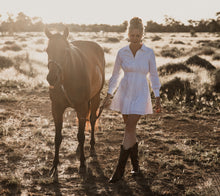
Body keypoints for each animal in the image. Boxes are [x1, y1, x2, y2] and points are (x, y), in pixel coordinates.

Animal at [44, 27, 105, 175]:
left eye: (65, 51)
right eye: (47, 50)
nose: (51, 78)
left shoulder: (81, 108)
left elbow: (81, 135)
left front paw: (82, 163)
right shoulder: (57, 109)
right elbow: (57, 137)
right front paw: (54, 164)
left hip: (95, 98)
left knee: (92, 120)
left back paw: (92, 145)